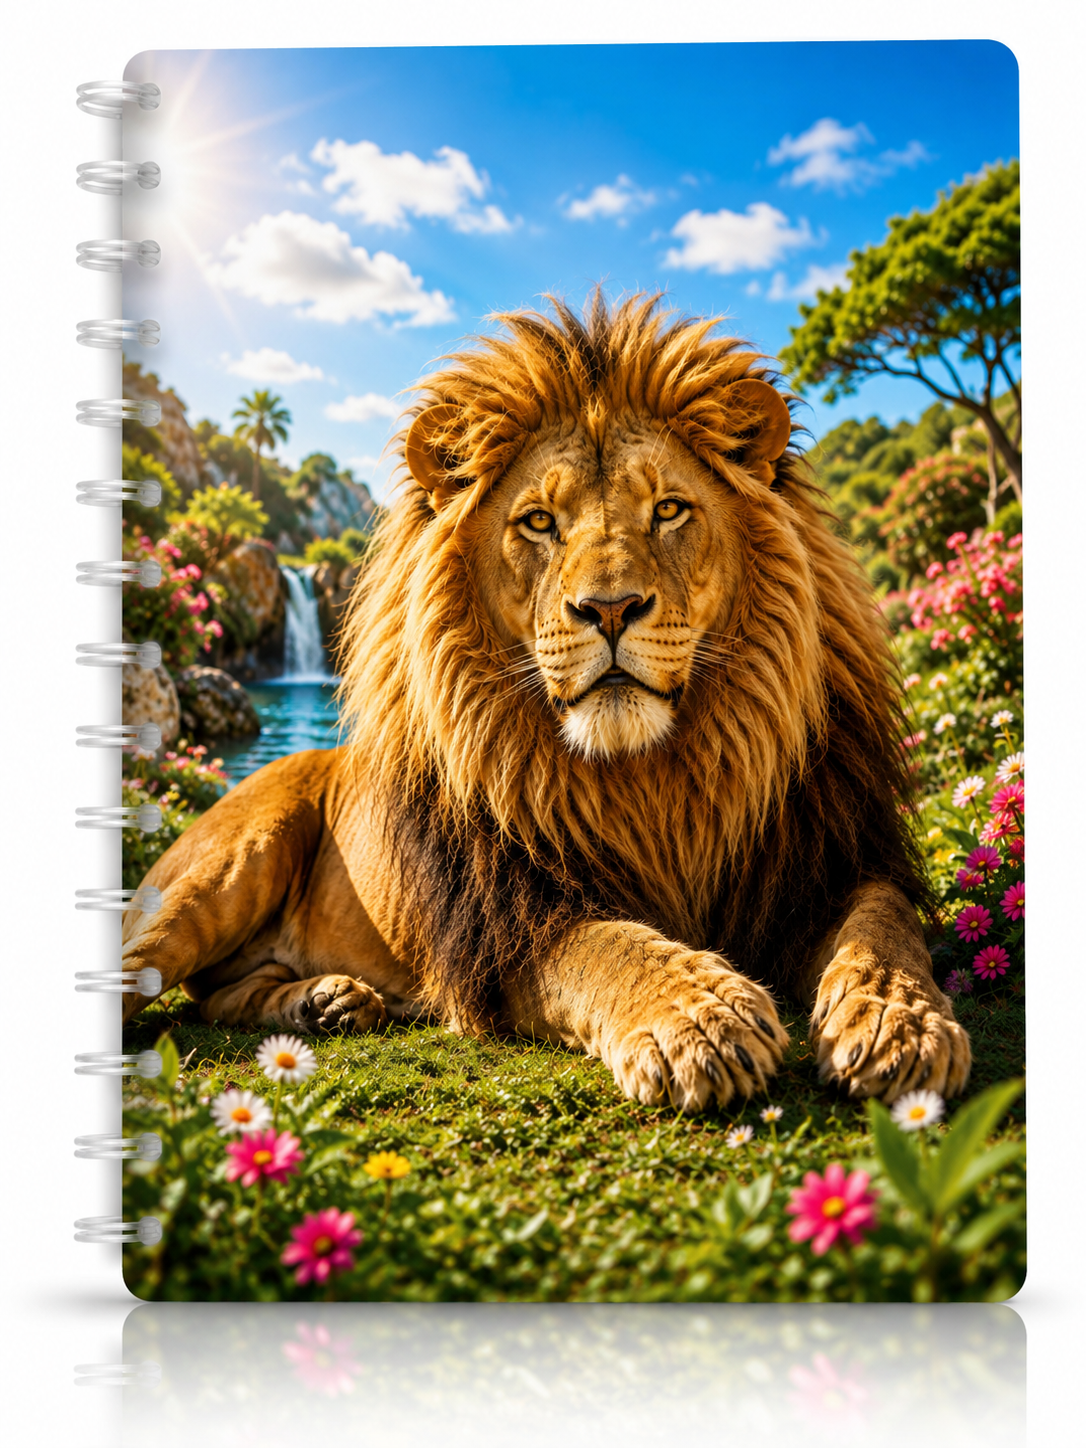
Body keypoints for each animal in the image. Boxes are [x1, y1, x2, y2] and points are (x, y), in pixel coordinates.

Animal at [121, 292, 971, 1111]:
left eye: (669, 509)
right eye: (538, 522)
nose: (611, 608)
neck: (655, 783)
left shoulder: (826, 865)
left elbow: (884, 928)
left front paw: (900, 1023)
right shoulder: (504, 928)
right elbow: (608, 945)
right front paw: (701, 1019)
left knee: (220, 994)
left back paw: (326, 1003)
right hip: (226, 866)